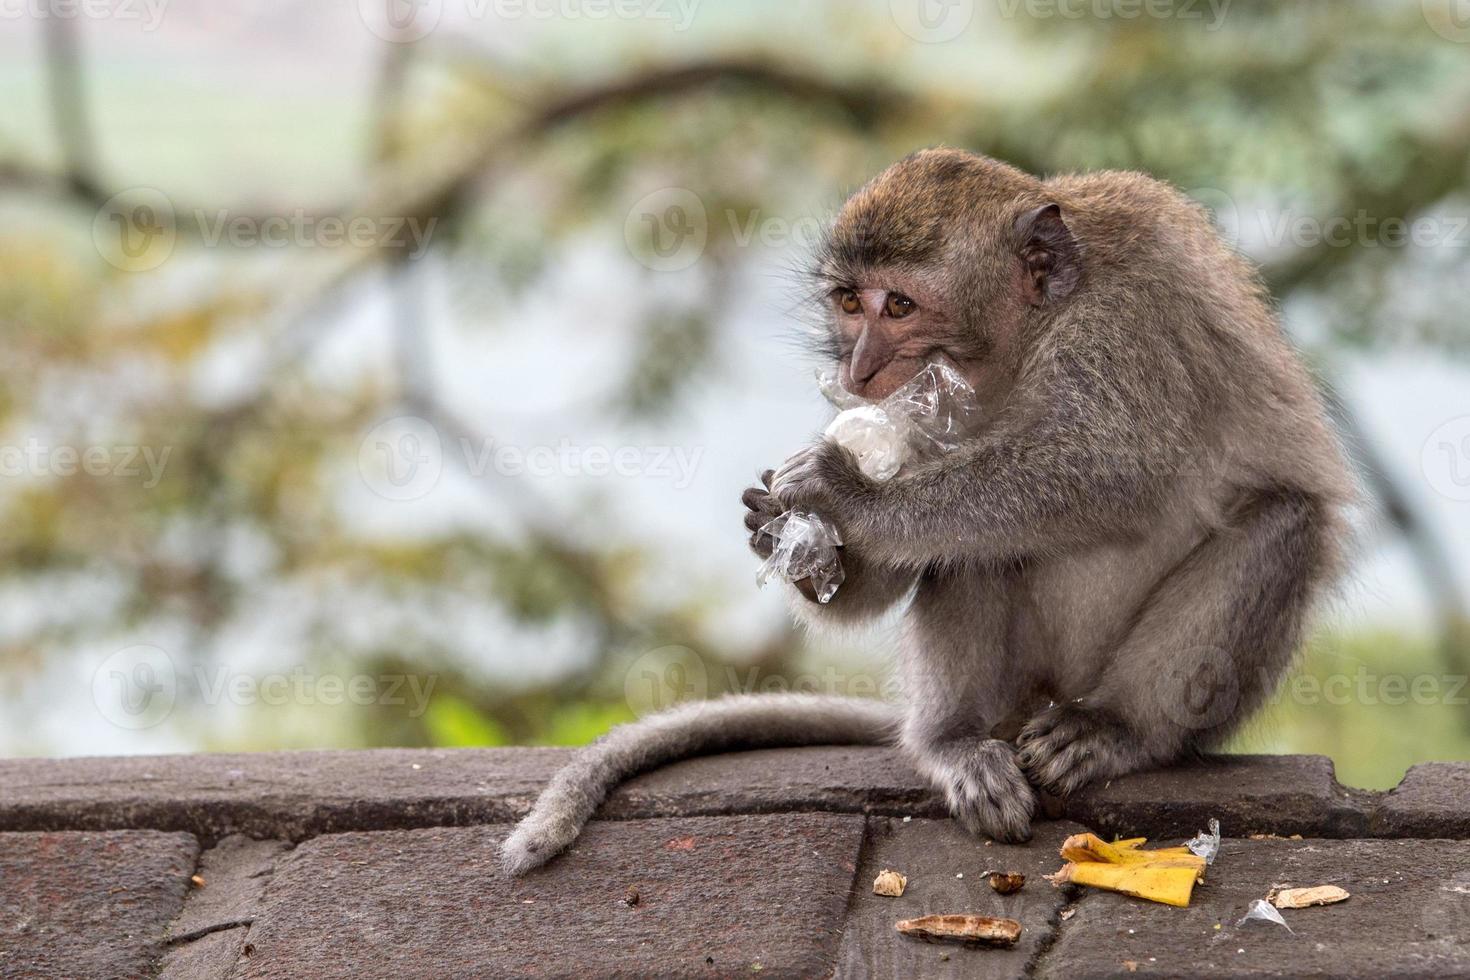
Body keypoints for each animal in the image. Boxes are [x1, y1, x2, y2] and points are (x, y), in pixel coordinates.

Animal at [499, 147, 1346, 875]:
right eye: (849, 302)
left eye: (900, 305)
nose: (856, 367)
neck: (1030, 336)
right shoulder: (928, 415)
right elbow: (910, 551)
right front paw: (783, 535)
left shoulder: (1122, 325)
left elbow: (1111, 470)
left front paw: (844, 493)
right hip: (1018, 686)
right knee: (965, 548)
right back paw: (951, 742)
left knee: (1279, 520)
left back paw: (1119, 728)